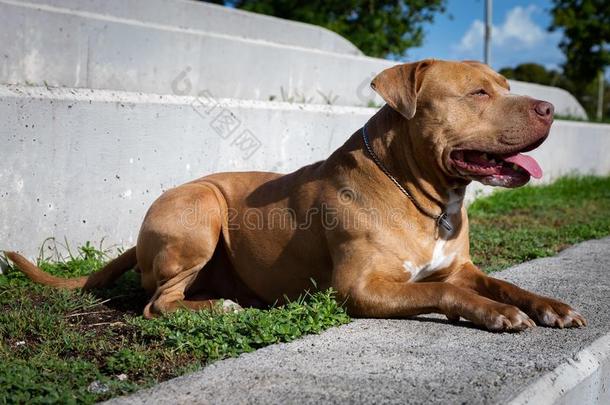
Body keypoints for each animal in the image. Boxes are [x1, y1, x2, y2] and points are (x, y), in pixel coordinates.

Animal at [4, 60, 584, 332]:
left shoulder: (459, 266)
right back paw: (220, 308)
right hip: (202, 208)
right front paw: (496, 314)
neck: (423, 194)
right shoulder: (360, 288)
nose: (550, 108)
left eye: (505, 85)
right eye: (478, 93)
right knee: (156, 304)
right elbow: (449, 294)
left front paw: (548, 306)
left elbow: (502, 283)